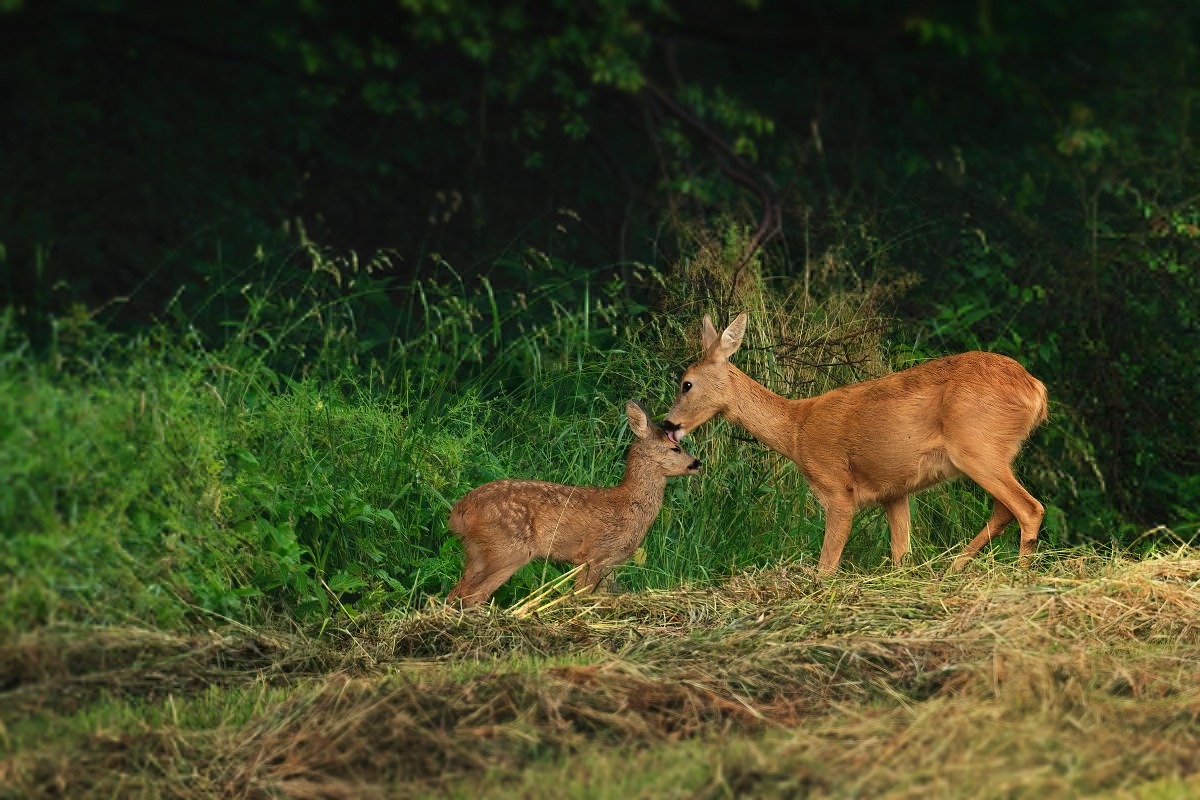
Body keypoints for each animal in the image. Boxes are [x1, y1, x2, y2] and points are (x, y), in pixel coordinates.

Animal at [451, 400, 700, 606]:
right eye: (675, 448)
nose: (697, 463)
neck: (630, 503)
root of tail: (460, 513)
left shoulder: (611, 563)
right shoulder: (596, 554)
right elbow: (582, 595)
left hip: (476, 551)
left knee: (457, 591)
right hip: (507, 550)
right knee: (473, 593)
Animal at [662, 311, 1046, 575]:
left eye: (686, 384)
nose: (667, 424)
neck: (796, 430)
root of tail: (1036, 390)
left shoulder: (836, 487)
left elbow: (826, 567)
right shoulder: (894, 491)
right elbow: (901, 554)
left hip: (978, 447)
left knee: (1029, 508)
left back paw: (1018, 576)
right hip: (992, 452)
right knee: (1005, 509)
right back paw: (953, 568)